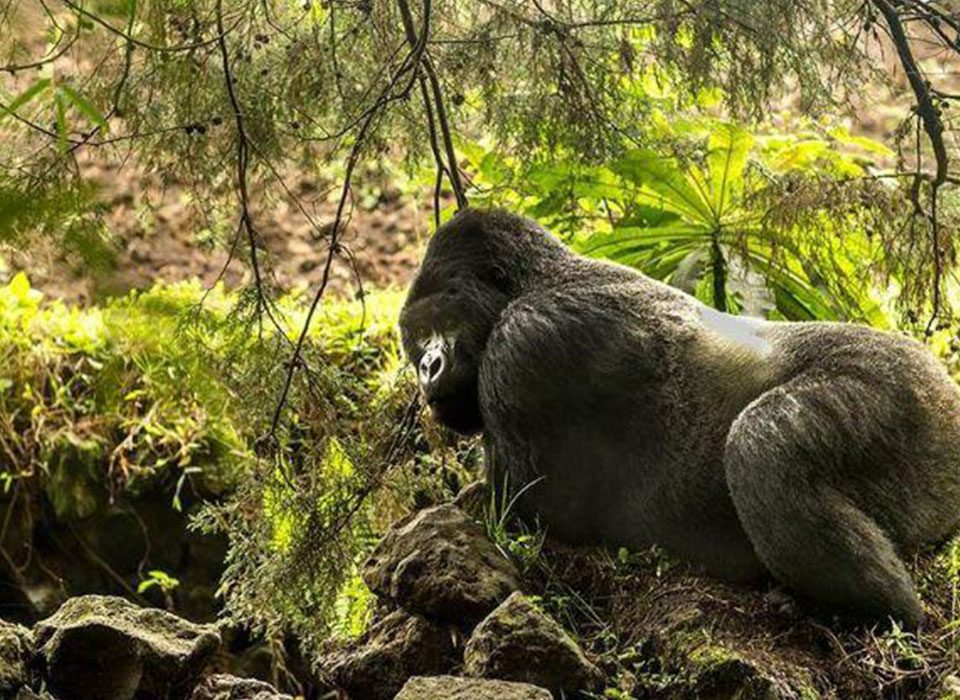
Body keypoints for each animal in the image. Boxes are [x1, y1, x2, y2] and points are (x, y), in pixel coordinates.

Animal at [399, 207, 960, 629]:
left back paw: (875, 609)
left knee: (761, 444)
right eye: (416, 338)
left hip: (912, 394)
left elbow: (526, 510)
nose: (427, 367)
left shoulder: (526, 343)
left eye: (441, 320)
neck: (536, 281)